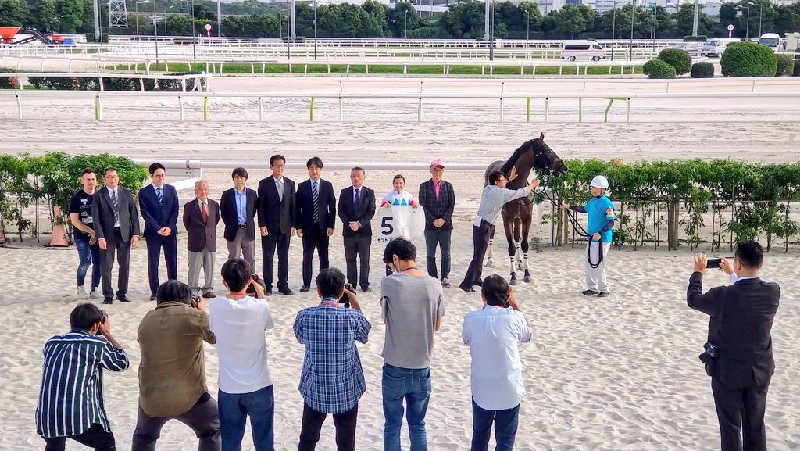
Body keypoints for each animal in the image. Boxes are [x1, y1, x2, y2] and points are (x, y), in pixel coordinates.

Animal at [482, 132, 568, 284]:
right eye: (545, 151)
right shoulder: (507, 219)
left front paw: (526, 273)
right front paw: (513, 275)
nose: (563, 167)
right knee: (492, 231)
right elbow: (510, 246)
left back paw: (519, 262)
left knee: (517, 237)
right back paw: (490, 260)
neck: (516, 187)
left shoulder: (526, 218)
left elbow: (524, 243)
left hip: (517, 219)